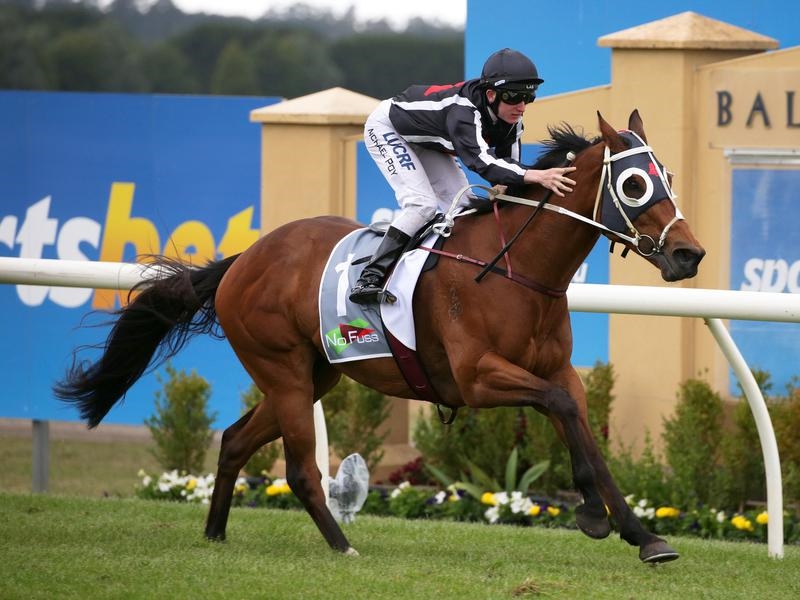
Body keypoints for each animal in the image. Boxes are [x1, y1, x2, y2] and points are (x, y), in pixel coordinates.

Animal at [55, 110, 705, 564]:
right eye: (635, 185)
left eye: (669, 176)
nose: (688, 254)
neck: (516, 271)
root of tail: (243, 260)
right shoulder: (477, 377)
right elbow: (561, 410)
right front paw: (595, 516)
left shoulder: (559, 370)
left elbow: (584, 430)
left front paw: (642, 535)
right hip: (284, 371)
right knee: (300, 470)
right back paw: (342, 546)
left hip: (313, 374)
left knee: (236, 440)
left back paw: (215, 532)